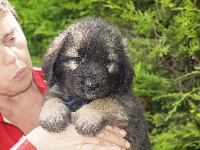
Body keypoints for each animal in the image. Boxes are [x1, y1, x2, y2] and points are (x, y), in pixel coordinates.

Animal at [39, 17, 151, 149]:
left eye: (108, 62)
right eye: (78, 59)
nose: (92, 85)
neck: (81, 100)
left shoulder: (128, 106)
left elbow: (106, 101)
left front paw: (87, 117)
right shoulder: (55, 91)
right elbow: (52, 99)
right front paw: (52, 115)